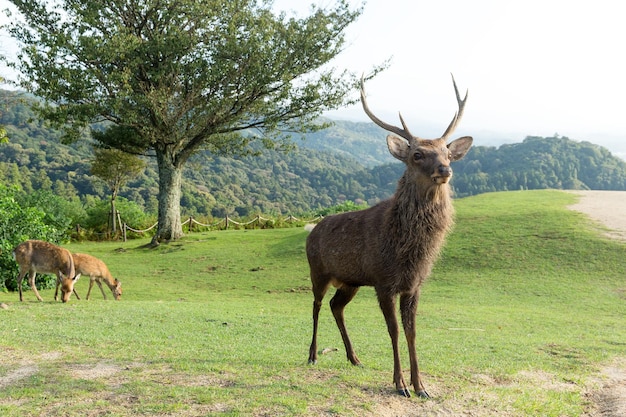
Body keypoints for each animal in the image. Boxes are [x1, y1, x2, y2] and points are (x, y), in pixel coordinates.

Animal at [304, 74, 470, 396]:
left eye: (447, 153)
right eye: (417, 154)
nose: (445, 169)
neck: (409, 251)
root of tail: (311, 229)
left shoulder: (414, 285)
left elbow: (412, 332)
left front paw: (421, 386)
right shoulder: (383, 281)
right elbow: (393, 330)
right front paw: (400, 384)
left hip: (351, 281)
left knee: (335, 306)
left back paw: (354, 358)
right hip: (318, 270)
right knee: (316, 305)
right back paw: (313, 355)